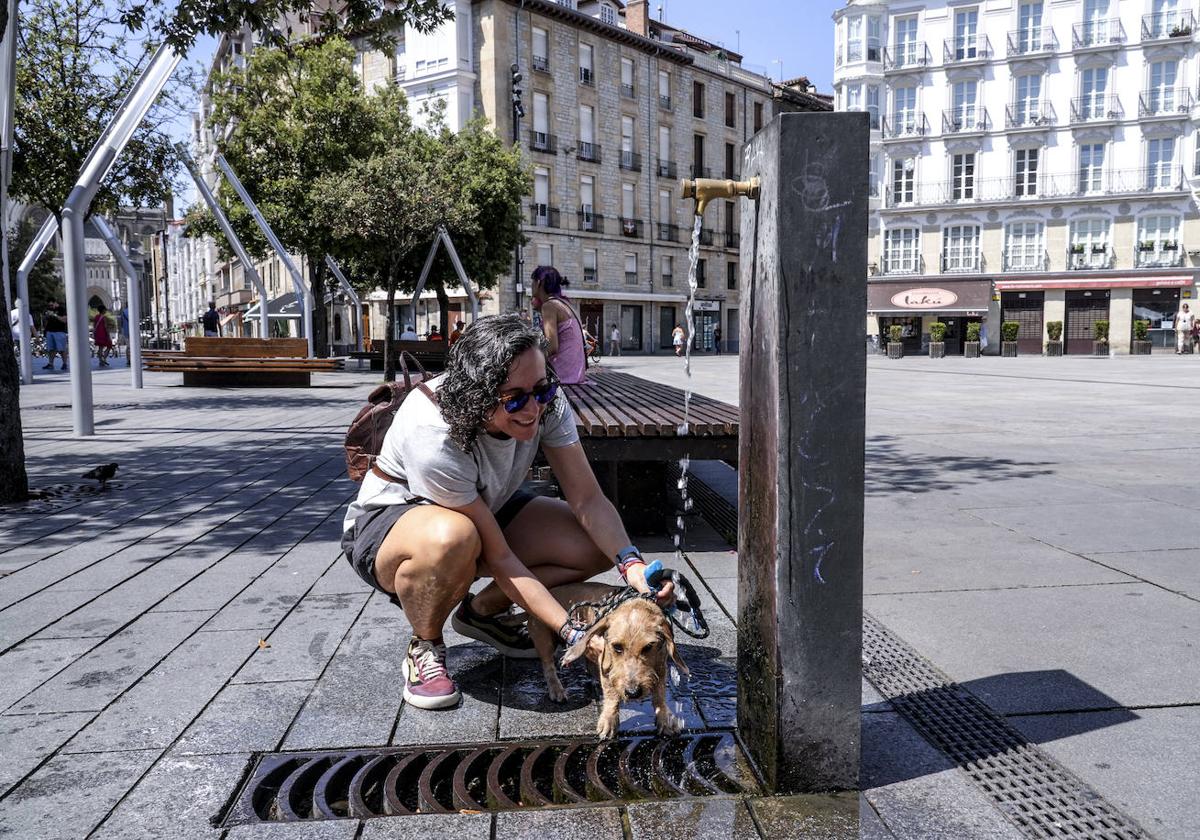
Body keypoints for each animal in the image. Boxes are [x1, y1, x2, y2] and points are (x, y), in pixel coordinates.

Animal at [528, 580, 691, 739]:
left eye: (648, 646)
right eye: (617, 647)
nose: (633, 693)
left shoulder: (661, 666)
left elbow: (660, 693)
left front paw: (665, 717)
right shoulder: (606, 664)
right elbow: (611, 692)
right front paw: (609, 720)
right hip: (543, 639)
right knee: (548, 666)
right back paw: (556, 689)